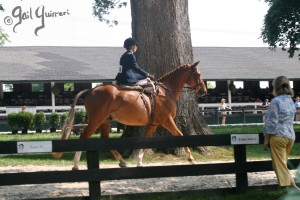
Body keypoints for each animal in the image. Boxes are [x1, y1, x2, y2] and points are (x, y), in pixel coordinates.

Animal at [53, 60, 206, 169]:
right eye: (198, 74)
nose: (203, 91)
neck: (165, 92)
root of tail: (91, 90)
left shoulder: (153, 124)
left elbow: (146, 140)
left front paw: (139, 162)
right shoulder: (167, 120)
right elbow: (180, 135)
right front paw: (191, 158)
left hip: (105, 120)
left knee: (105, 139)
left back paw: (122, 162)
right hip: (96, 119)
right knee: (84, 137)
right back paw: (76, 165)